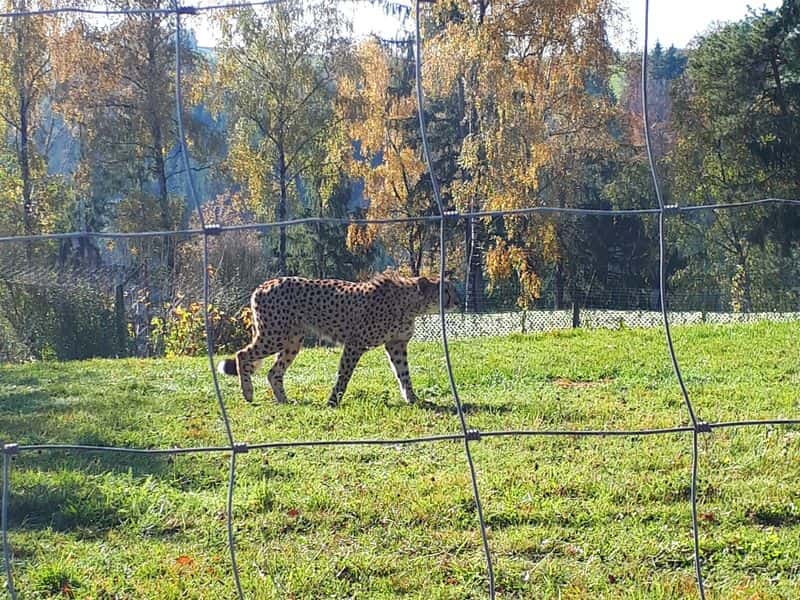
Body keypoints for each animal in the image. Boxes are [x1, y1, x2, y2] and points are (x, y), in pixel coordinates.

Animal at [217, 274, 456, 408]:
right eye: (444, 291)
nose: (457, 300)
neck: (411, 303)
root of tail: (264, 284)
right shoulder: (355, 344)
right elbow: (344, 375)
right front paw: (333, 402)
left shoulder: (396, 345)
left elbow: (404, 375)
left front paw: (413, 399)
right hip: (274, 336)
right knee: (242, 354)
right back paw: (248, 392)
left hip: (292, 341)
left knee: (273, 371)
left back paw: (284, 401)